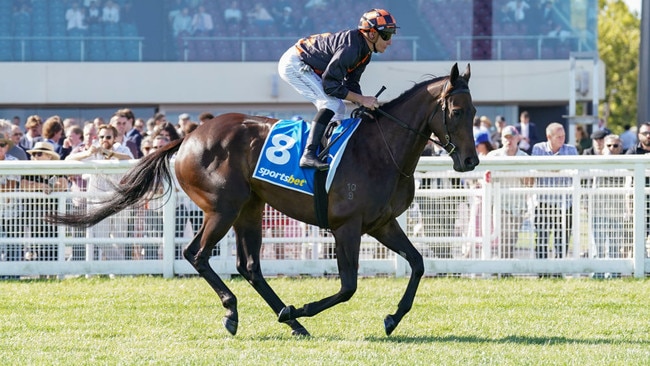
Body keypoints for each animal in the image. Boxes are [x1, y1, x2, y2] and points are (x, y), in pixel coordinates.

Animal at [49, 62, 476, 334]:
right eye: (456, 110)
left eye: (474, 111)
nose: (470, 160)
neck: (380, 148)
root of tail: (187, 137)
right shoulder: (347, 226)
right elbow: (348, 286)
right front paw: (304, 307)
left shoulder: (382, 222)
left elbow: (418, 264)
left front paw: (392, 318)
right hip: (223, 208)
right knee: (196, 254)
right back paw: (237, 312)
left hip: (250, 208)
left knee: (249, 265)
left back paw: (292, 322)